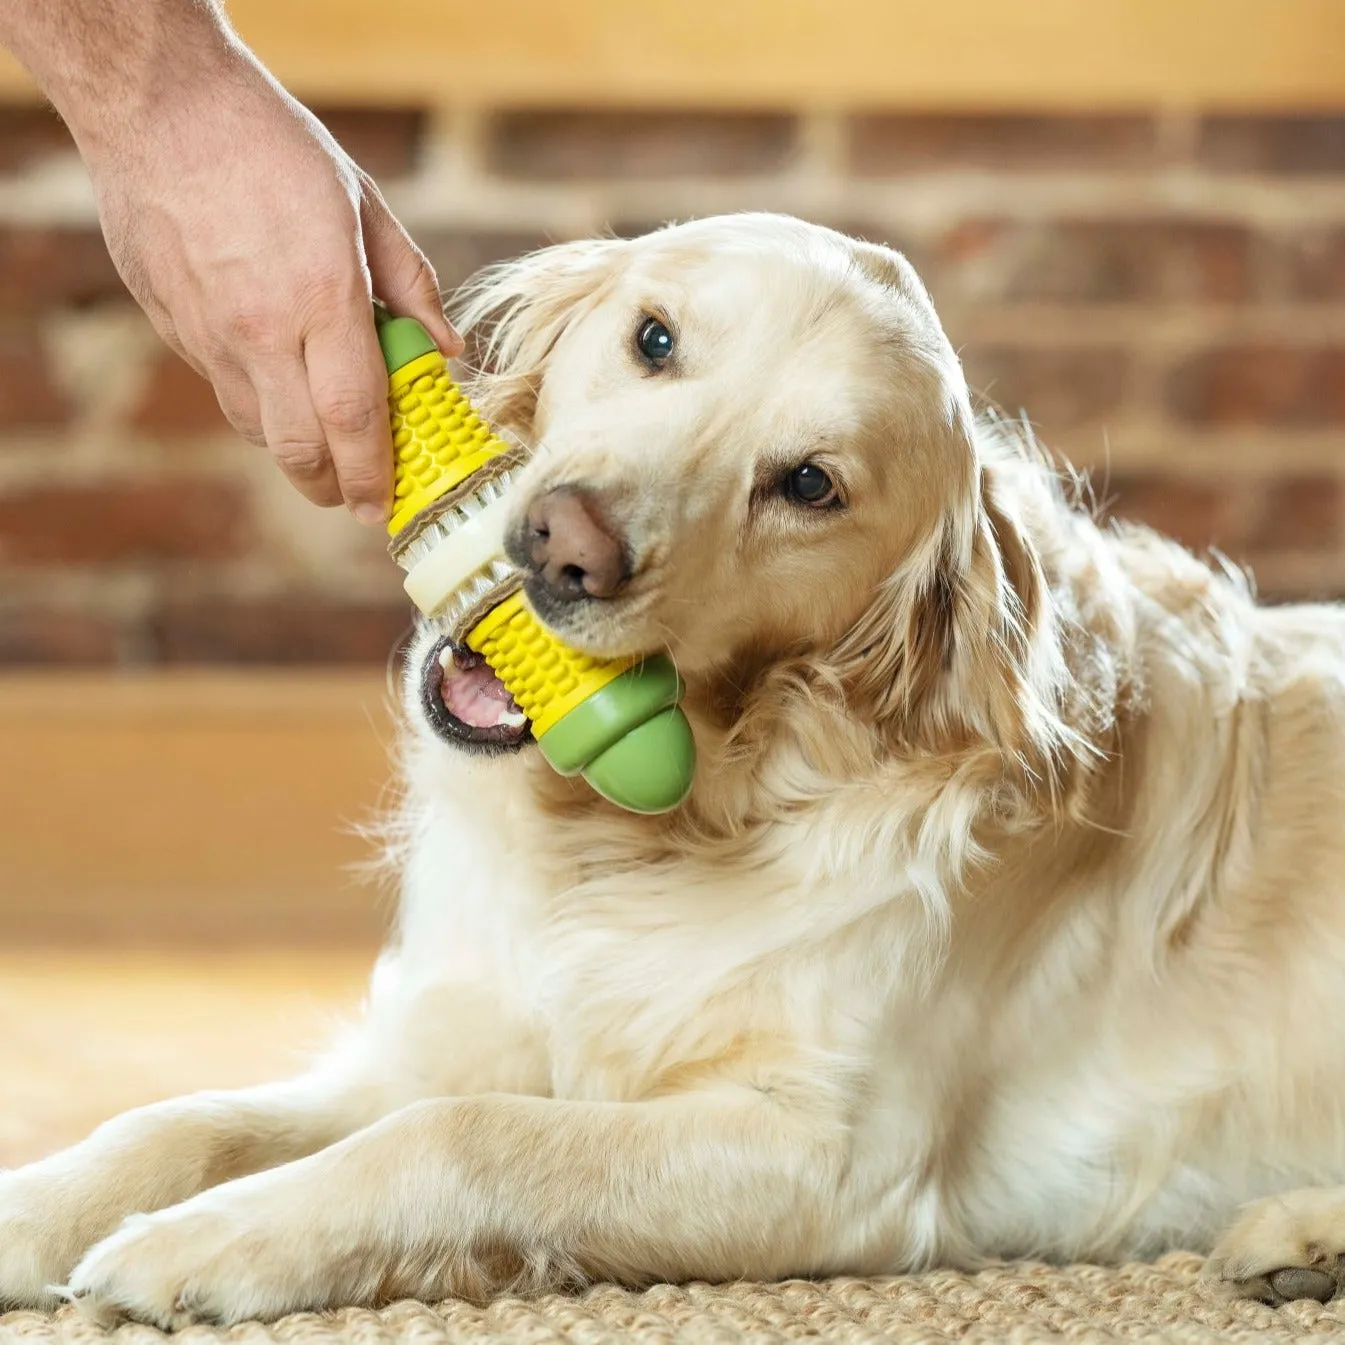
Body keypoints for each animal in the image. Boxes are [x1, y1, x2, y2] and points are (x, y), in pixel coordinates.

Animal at [2, 212, 1345, 1323]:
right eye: (654, 338)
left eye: (808, 483)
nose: (566, 546)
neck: (644, 832)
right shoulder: (453, 1032)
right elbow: (184, 1120)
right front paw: (40, 1207)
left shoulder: (830, 1155)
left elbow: (461, 1136)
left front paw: (199, 1242)